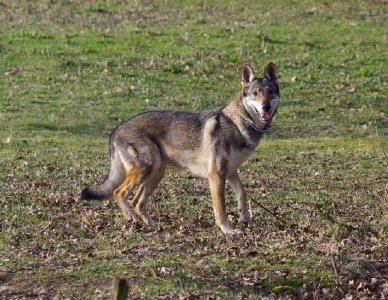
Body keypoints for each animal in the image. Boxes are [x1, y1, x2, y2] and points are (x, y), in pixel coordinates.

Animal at [81, 62, 278, 233]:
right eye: (255, 93)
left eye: (270, 92)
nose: (266, 107)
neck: (238, 123)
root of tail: (116, 129)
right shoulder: (216, 174)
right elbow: (221, 208)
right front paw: (227, 230)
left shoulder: (231, 172)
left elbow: (242, 194)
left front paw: (245, 218)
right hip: (145, 170)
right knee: (119, 192)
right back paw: (132, 220)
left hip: (156, 173)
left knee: (137, 202)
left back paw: (153, 225)